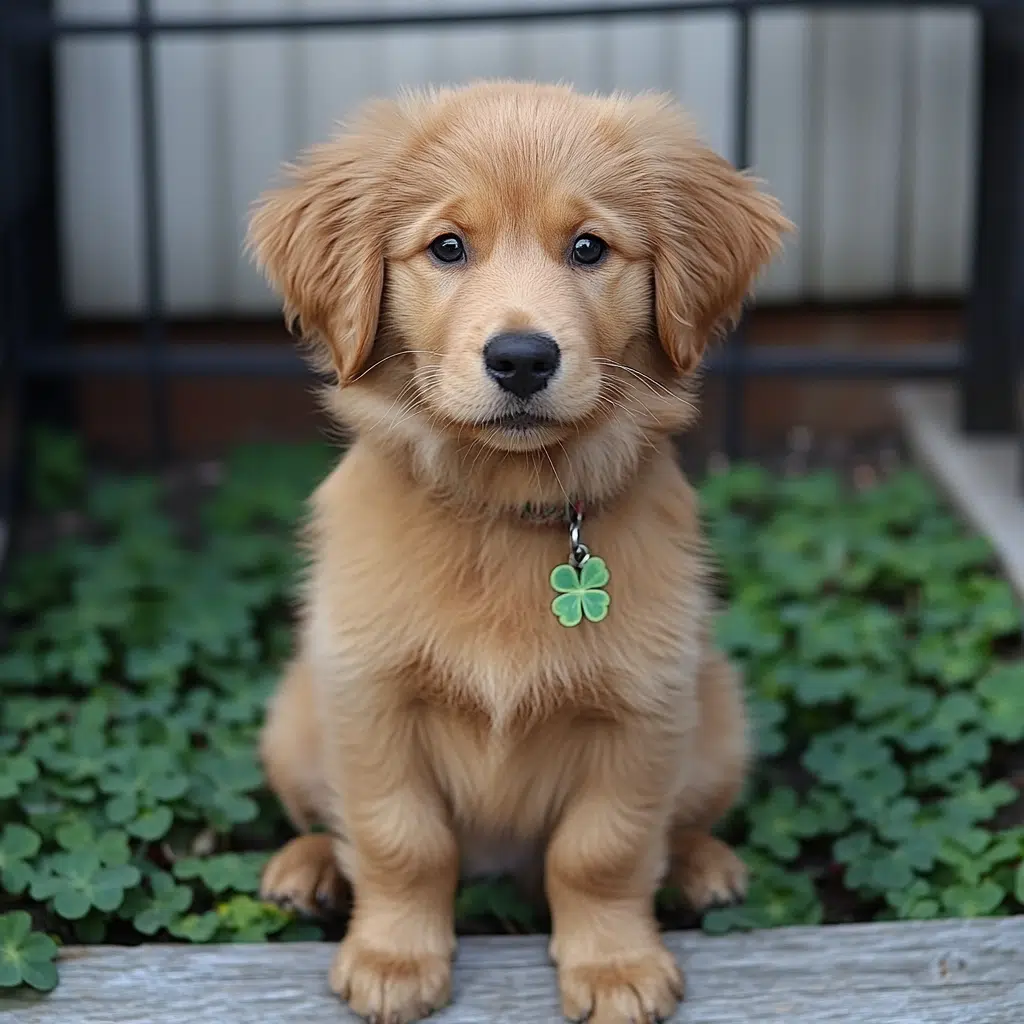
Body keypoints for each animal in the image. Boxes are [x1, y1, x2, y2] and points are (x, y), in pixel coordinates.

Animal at [249, 81, 790, 1024]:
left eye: (588, 248)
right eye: (447, 247)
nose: (523, 358)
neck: (504, 509)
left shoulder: (644, 710)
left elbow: (601, 850)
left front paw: (614, 966)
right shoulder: (369, 696)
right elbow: (401, 839)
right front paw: (393, 956)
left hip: (719, 718)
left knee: (677, 822)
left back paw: (702, 864)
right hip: (294, 718)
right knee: (327, 817)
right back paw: (306, 867)